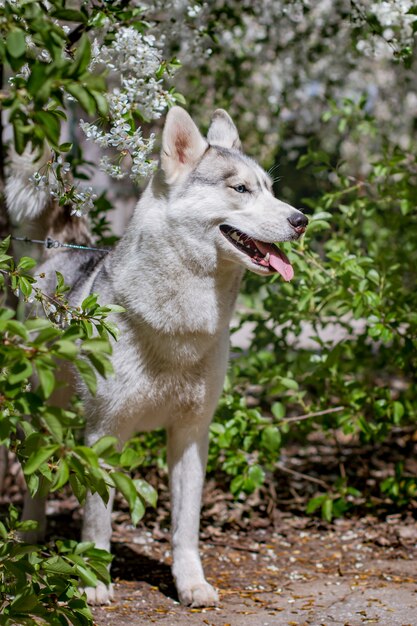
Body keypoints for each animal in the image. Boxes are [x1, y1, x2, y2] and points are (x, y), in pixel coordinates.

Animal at [5, 107, 306, 604]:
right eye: (240, 189)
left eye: (270, 188)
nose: (303, 219)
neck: (178, 328)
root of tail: (59, 252)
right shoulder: (104, 433)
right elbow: (98, 519)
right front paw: (94, 581)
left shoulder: (191, 434)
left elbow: (186, 526)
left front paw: (191, 583)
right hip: (43, 414)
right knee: (39, 477)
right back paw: (30, 534)